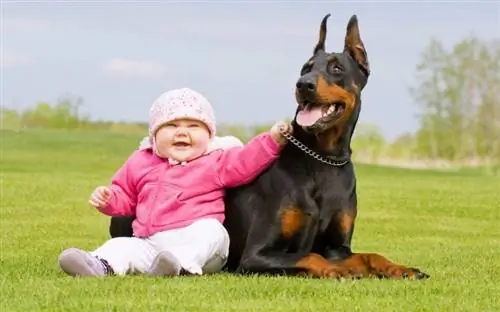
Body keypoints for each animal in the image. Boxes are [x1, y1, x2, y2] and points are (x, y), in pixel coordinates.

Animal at [109, 14, 430, 280]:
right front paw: (342, 271)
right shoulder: (256, 255)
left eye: (337, 68)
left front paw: (400, 268)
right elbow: (311, 256)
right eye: (305, 68)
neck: (324, 159)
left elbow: (367, 255)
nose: (303, 84)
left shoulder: (338, 247)